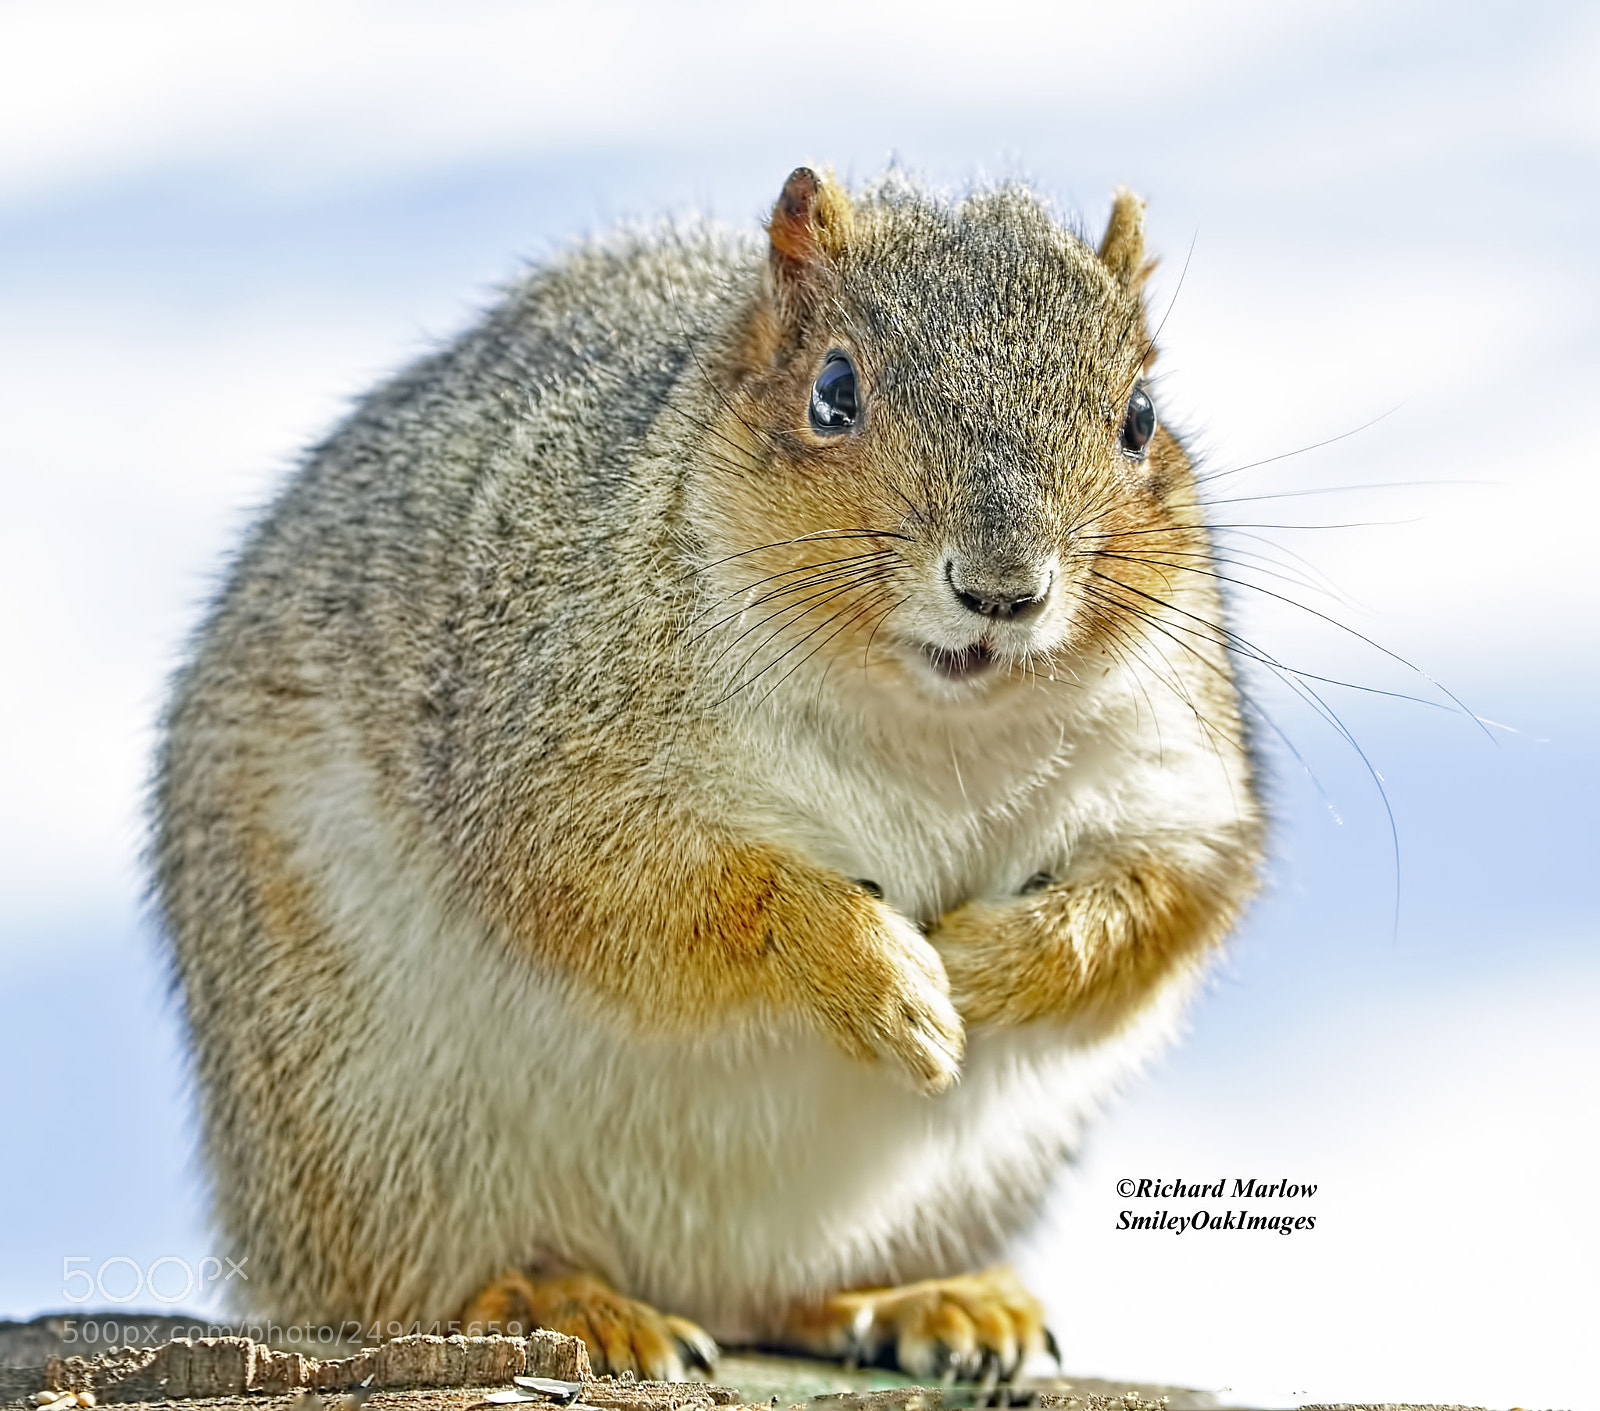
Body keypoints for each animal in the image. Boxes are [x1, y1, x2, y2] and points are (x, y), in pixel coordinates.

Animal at [153, 167, 1262, 1384]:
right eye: (833, 390)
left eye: (1140, 417)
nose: (1003, 589)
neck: (935, 730)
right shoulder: (547, 745)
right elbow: (644, 895)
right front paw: (881, 974)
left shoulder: (1178, 771)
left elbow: (1161, 903)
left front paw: (983, 965)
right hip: (366, 1124)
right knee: (411, 1286)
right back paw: (567, 1303)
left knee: (786, 1297)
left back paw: (925, 1298)